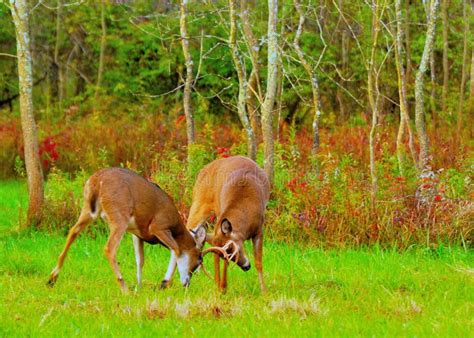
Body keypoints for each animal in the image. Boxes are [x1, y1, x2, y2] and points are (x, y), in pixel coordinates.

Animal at [46, 168, 207, 292]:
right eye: (199, 259)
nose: (187, 284)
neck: (176, 227)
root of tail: (97, 181)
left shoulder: (137, 234)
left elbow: (140, 260)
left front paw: (139, 287)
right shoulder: (158, 226)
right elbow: (177, 249)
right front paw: (164, 283)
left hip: (88, 210)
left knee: (72, 232)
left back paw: (52, 279)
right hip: (119, 216)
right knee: (109, 248)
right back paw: (124, 287)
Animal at [161, 156, 270, 290]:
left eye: (231, 250)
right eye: (228, 252)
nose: (246, 267)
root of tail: (204, 169)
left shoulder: (259, 230)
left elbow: (258, 262)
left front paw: (264, 291)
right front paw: (220, 287)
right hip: (199, 203)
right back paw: (169, 282)